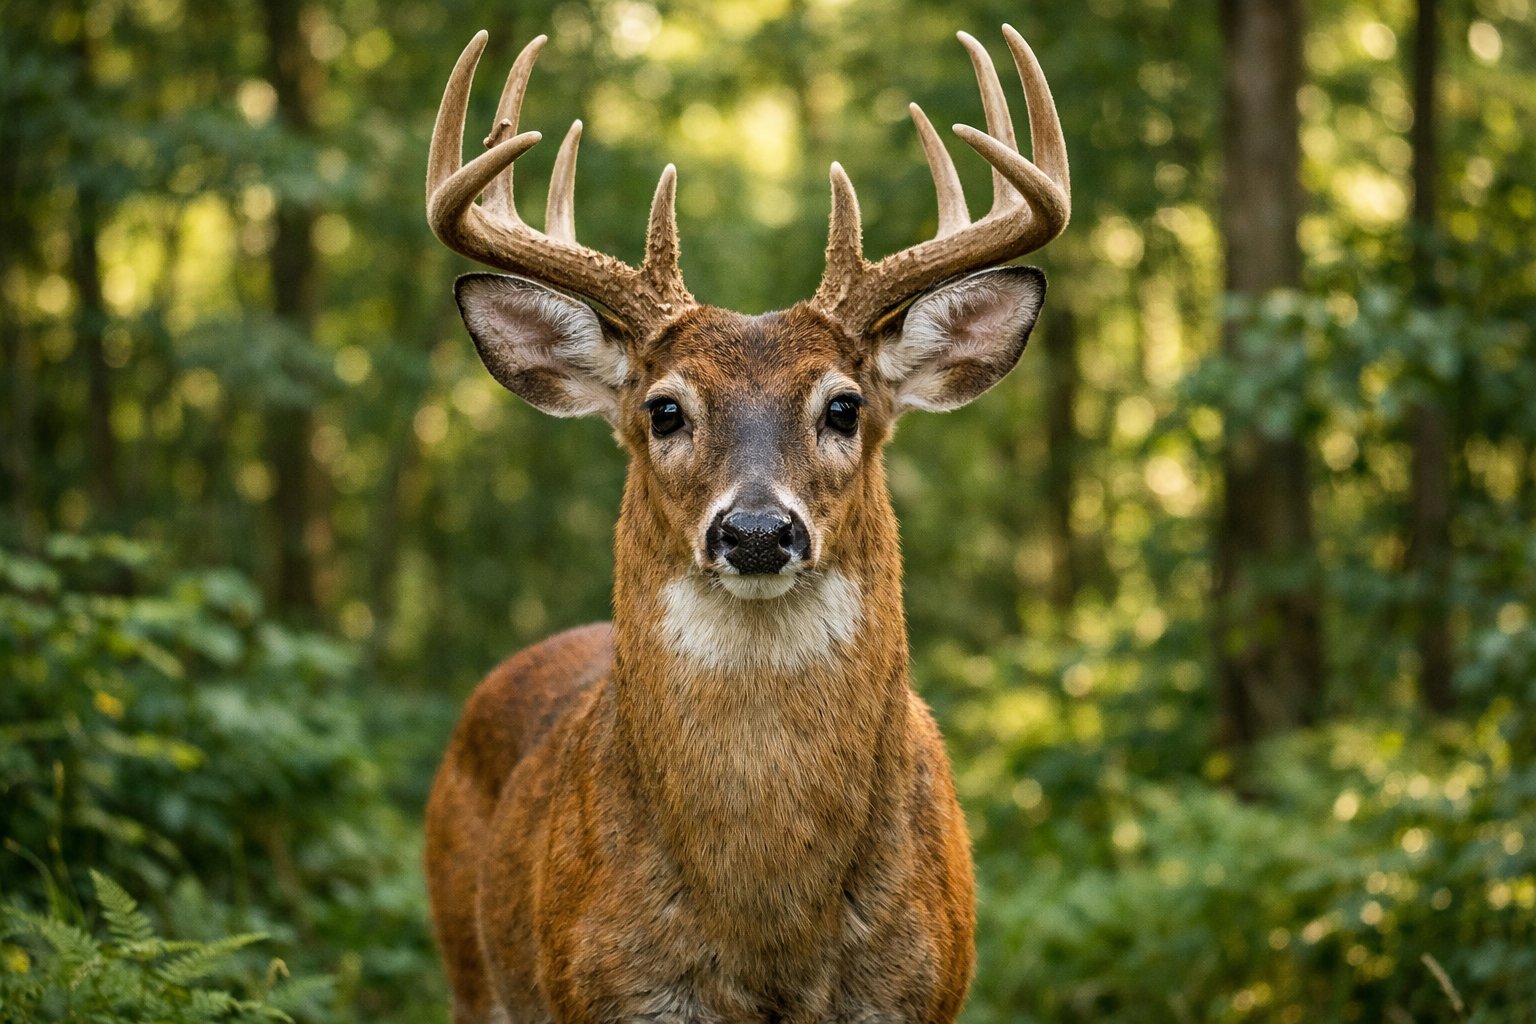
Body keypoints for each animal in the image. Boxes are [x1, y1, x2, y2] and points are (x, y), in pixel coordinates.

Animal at [422, 22, 1069, 1024]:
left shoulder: (919, 988)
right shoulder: (613, 991)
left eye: (843, 406)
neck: (770, 936)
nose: (759, 532)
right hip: (471, 974)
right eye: (663, 409)